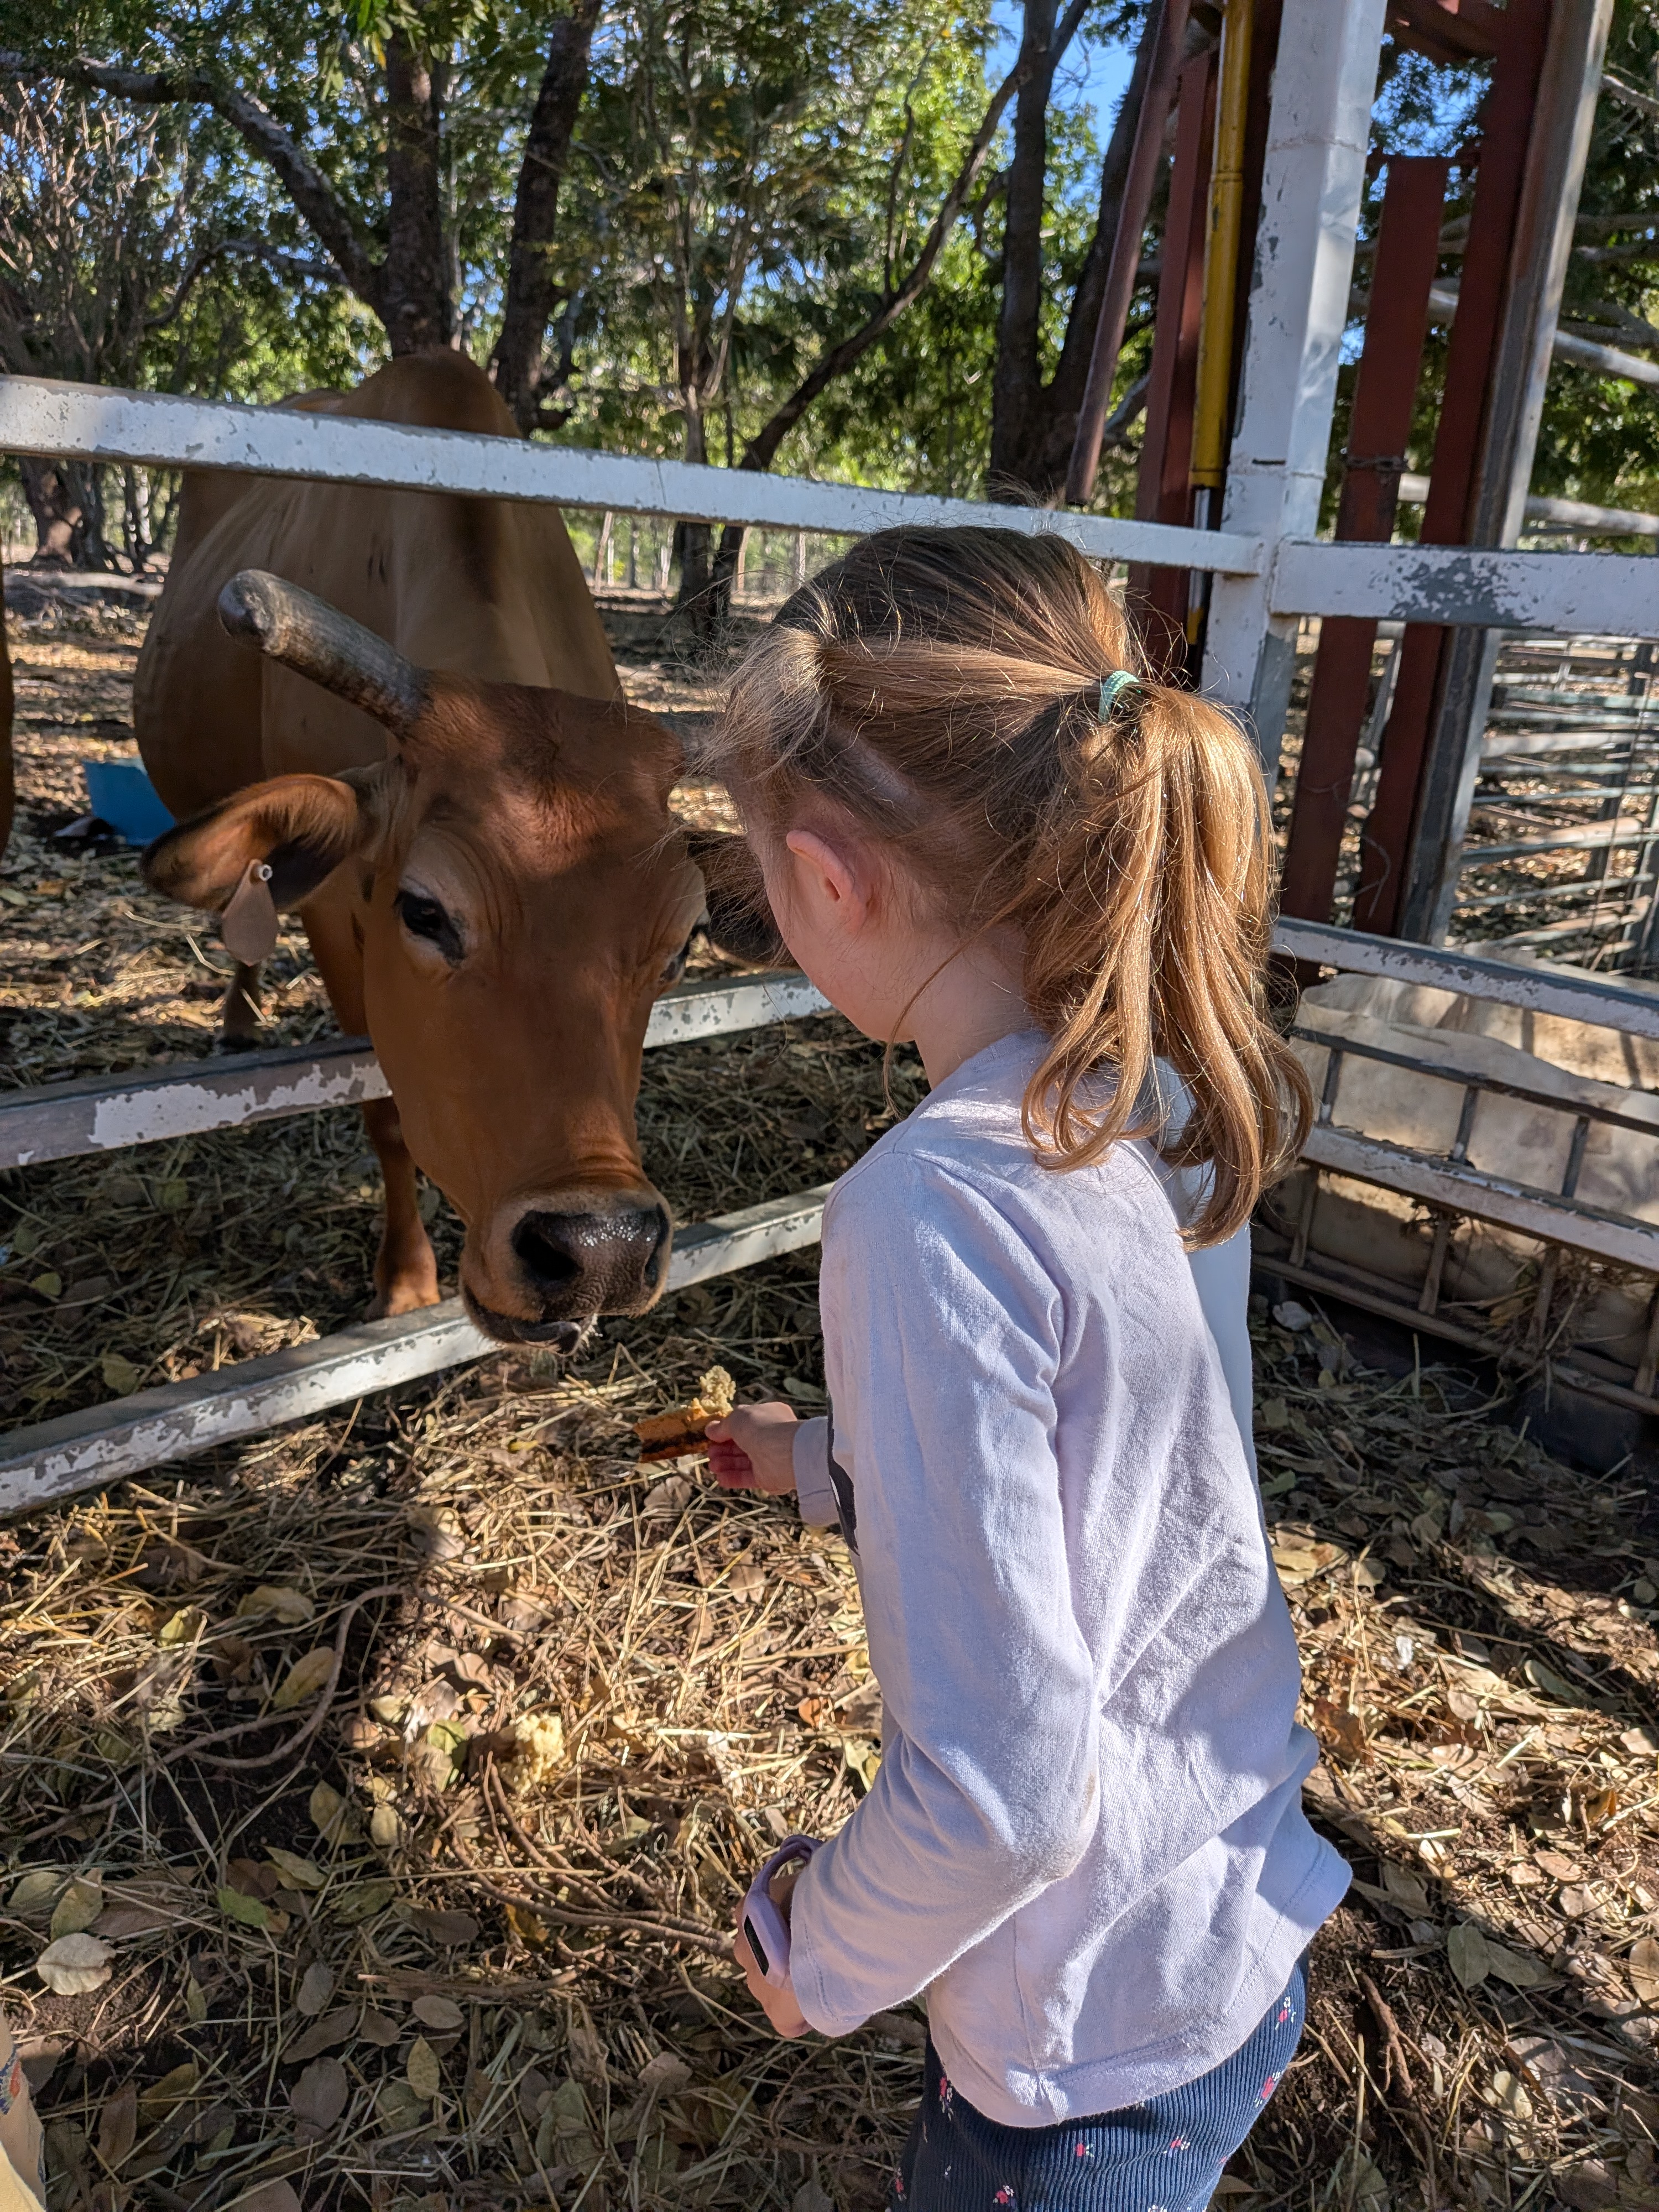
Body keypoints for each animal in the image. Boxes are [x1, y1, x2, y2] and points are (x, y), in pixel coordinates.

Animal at [134, 350, 764, 1351]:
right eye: (424, 912)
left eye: (682, 946)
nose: (600, 1249)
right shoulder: (334, 910)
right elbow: (387, 1114)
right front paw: (404, 1282)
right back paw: (238, 1018)